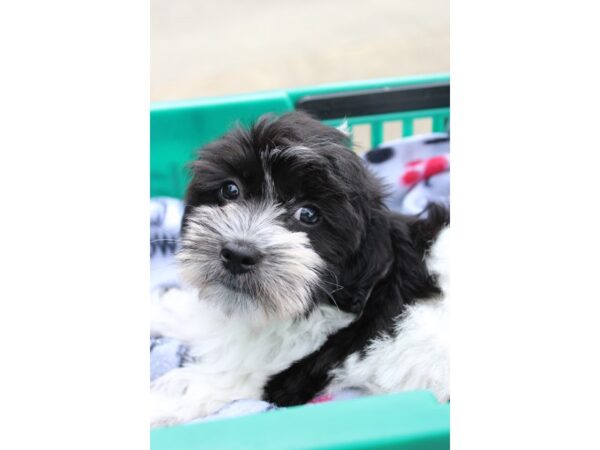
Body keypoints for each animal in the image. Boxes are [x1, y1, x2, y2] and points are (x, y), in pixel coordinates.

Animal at [150, 110, 450, 428]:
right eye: (230, 189)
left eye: (308, 214)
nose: (238, 254)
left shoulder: (266, 374)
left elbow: (205, 385)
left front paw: (156, 404)